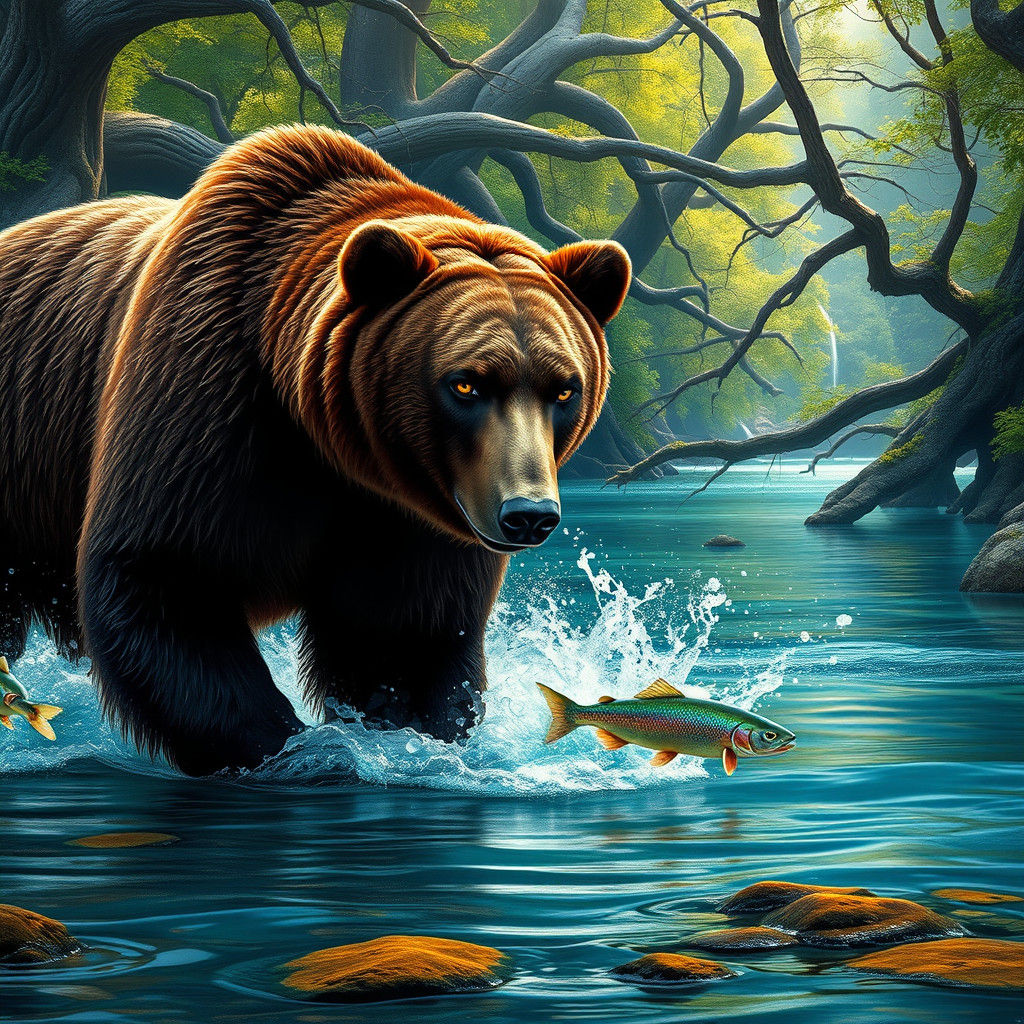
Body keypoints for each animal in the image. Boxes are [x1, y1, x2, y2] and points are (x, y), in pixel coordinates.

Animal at [0, 124, 630, 775]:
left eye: (564, 388)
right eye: (466, 384)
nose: (528, 515)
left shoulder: (411, 509)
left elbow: (401, 631)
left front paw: (396, 736)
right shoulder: (204, 402)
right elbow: (165, 574)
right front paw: (293, 749)